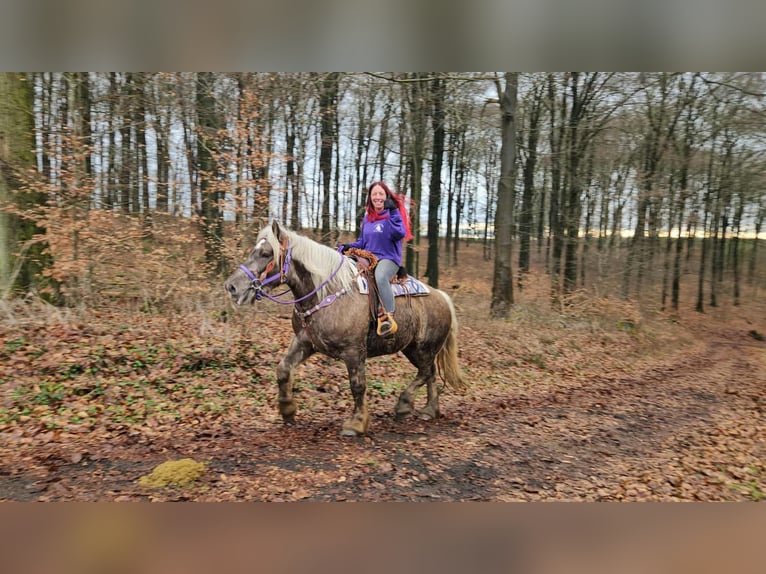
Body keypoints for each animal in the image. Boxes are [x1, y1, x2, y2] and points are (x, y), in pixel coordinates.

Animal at [223, 220, 467, 436]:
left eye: (266, 253)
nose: (232, 286)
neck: (328, 292)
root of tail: (442, 296)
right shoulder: (305, 341)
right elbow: (283, 369)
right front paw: (287, 410)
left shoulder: (354, 352)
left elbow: (357, 386)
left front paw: (357, 423)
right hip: (412, 349)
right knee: (430, 373)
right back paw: (430, 410)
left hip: (424, 348)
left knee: (426, 372)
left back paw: (405, 405)